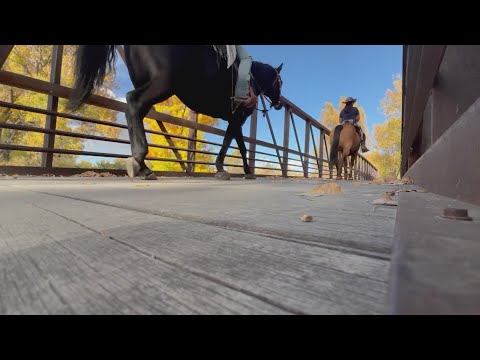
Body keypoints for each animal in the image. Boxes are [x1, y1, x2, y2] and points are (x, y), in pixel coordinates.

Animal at [69, 45, 284, 180]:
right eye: (279, 82)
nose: (279, 103)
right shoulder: (238, 118)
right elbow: (232, 145)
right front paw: (228, 169)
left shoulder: (235, 119)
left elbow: (237, 144)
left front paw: (240, 170)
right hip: (162, 84)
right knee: (134, 103)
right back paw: (140, 162)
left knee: (135, 111)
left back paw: (142, 166)